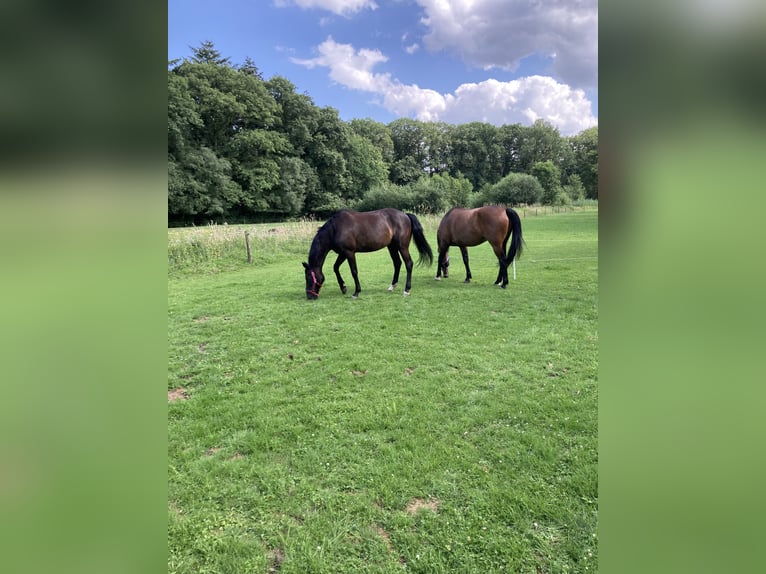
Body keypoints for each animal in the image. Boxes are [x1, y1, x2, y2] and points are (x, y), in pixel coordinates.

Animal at [304, 210, 436, 302]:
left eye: (309, 278)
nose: (309, 296)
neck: (335, 229)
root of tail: (405, 215)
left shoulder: (349, 252)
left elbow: (354, 271)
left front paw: (356, 292)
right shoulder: (343, 253)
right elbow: (335, 268)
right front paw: (343, 287)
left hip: (402, 246)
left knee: (408, 264)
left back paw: (407, 290)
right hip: (391, 247)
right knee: (397, 263)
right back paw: (392, 286)